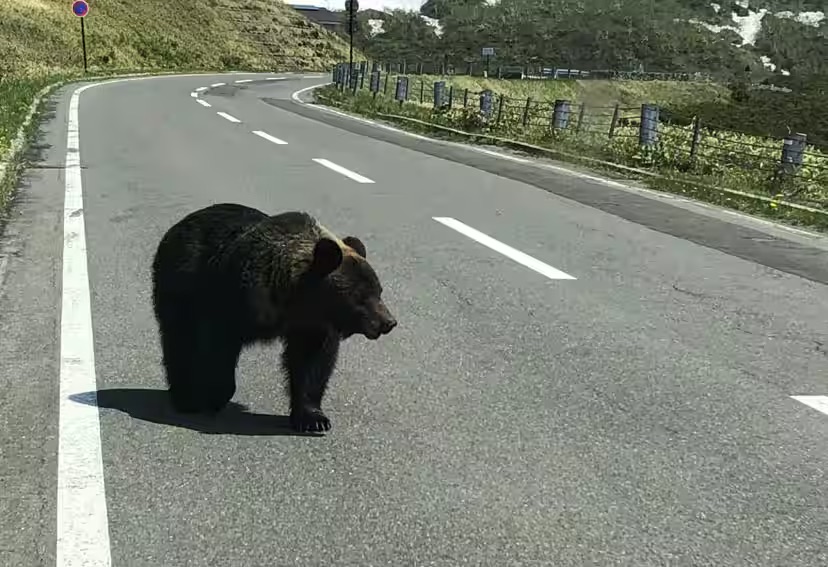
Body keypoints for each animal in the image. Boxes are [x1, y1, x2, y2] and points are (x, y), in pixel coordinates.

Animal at [150, 202, 397, 432]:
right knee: (180, 338)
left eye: (379, 291)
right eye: (361, 296)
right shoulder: (230, 304)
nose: (389, 322)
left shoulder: (313, 325)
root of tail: (180, 224)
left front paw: (313, 418)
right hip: (181, 284)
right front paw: (213, 394)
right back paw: (185, 397)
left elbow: (311, 363)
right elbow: (214, 348)